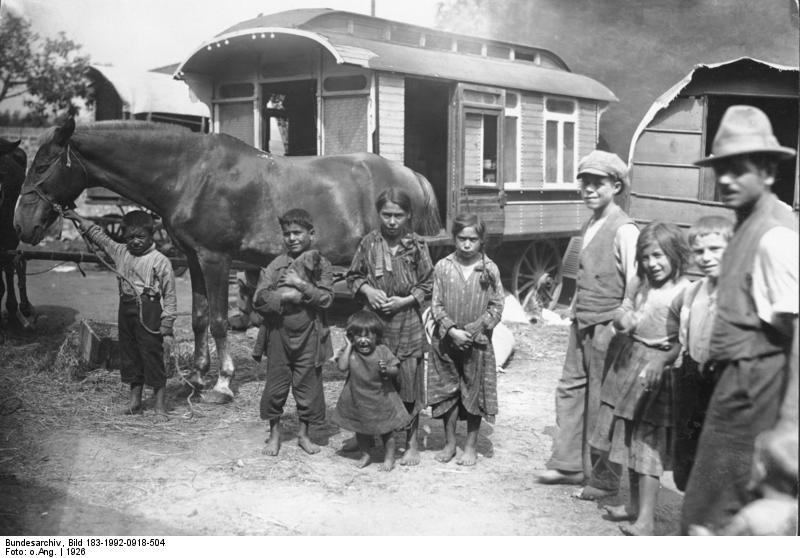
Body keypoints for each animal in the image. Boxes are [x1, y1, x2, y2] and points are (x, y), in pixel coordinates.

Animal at [12, 118, 440, 404]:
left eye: (42, 165)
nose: (21, 224)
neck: (190, 173)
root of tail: (414, 177)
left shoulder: (216, 259)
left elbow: (219, 320)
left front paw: (222, 383)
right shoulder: (193, 258)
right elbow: (200, 318)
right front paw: (199, 377)